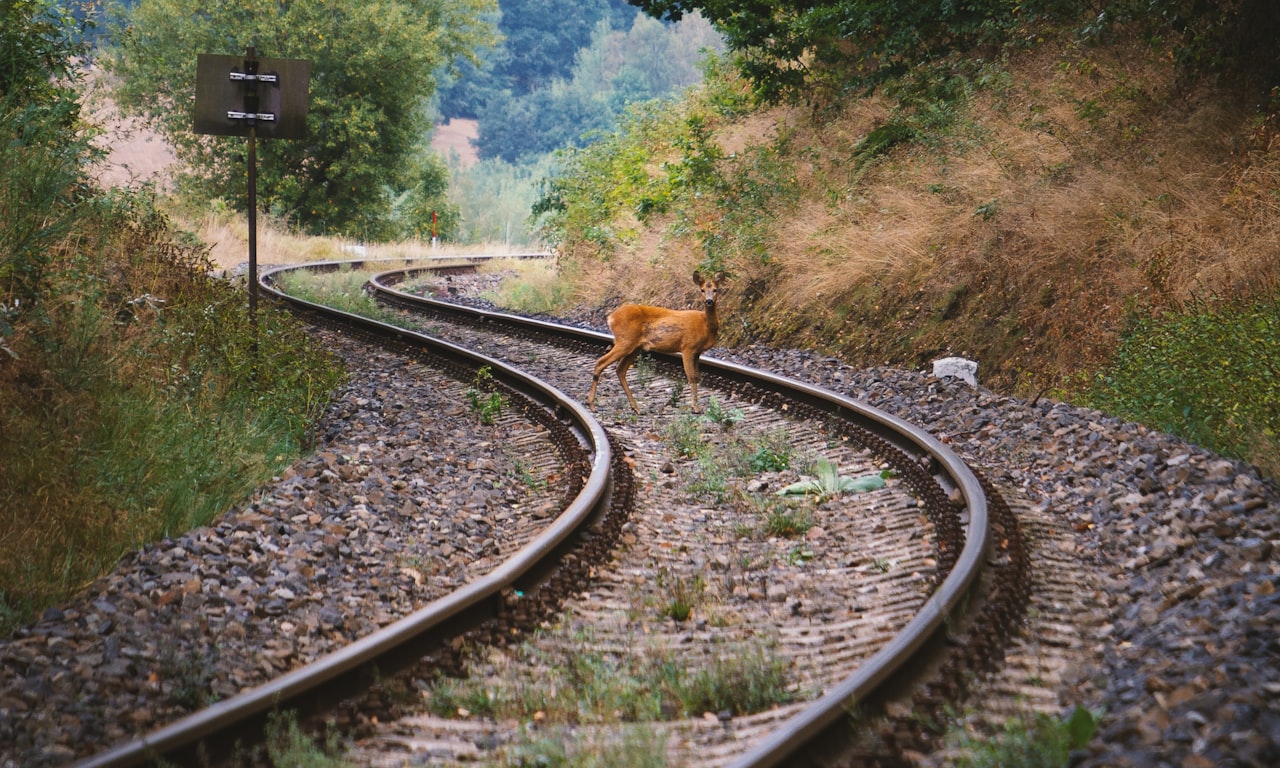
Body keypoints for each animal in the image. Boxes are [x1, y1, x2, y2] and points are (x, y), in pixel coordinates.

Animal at [586, 270, 727, 414]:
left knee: (620, 370)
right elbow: (691, 376)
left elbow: (697, 377)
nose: (709, 301)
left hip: (635, 347)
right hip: (625, 341)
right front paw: (695, 407)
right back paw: (591, 404)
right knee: (601, 362)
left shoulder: (697, 352)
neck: (706, 326)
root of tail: (611, 318)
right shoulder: (687, 347)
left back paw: (636, 407)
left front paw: (696, 406)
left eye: (716, 290)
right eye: (702, 290)